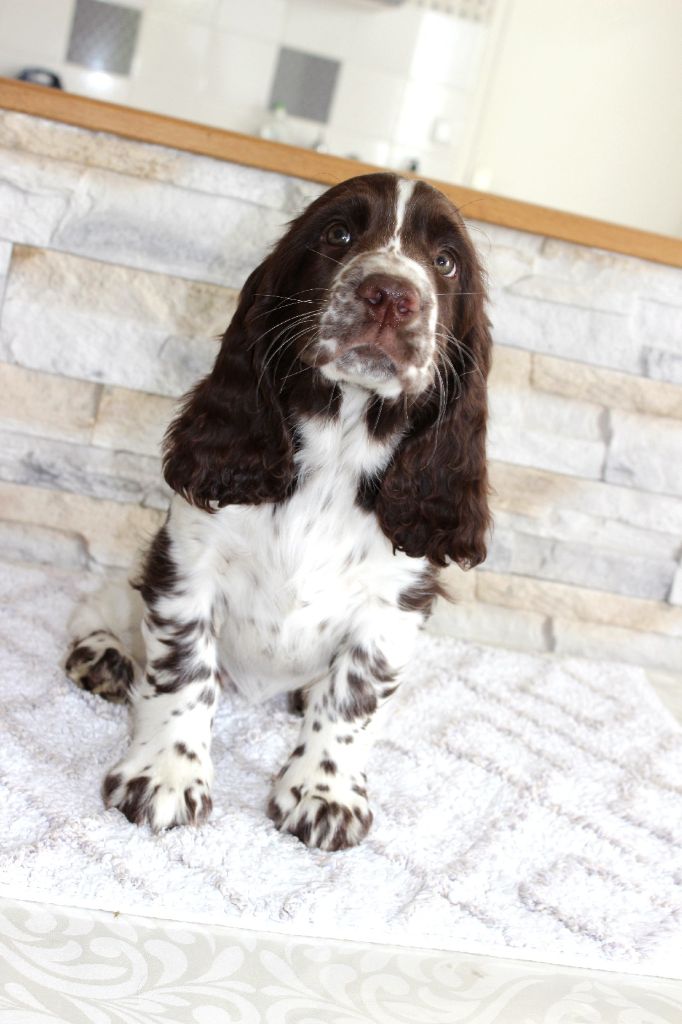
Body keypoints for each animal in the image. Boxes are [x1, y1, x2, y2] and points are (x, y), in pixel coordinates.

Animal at [65, 172, 491, 851]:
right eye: (338, 233)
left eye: (446, 261)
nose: (390, 295)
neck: (338, 451)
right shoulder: (187, 561)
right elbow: (183, 672)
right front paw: (164, 775)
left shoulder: (396, 601)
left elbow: (354, 698)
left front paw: (324, 792)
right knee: (103, 600)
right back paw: (103, 655)